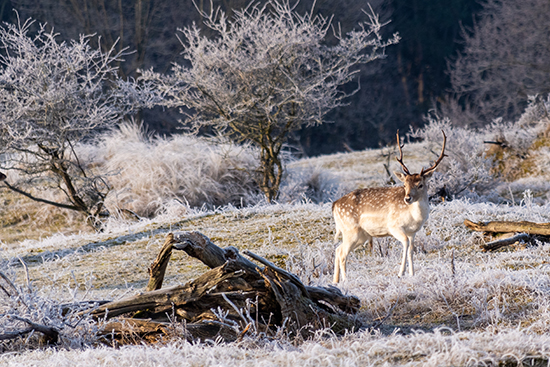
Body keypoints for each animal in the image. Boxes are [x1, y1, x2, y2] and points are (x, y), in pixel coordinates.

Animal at [334, 131, 446, 284]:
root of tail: (334, 205)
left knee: (338, 249)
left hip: (361, 235)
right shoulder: (394, 226)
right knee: (342, 254)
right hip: (351, 230)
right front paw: (401, 273)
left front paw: (412, 274)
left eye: (420, 185)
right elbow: (405, 243)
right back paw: (346, 281)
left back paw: (335, 281)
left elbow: (411, 249)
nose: (407, 198)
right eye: (404, 184)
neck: (415, 218)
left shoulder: (412, 232)